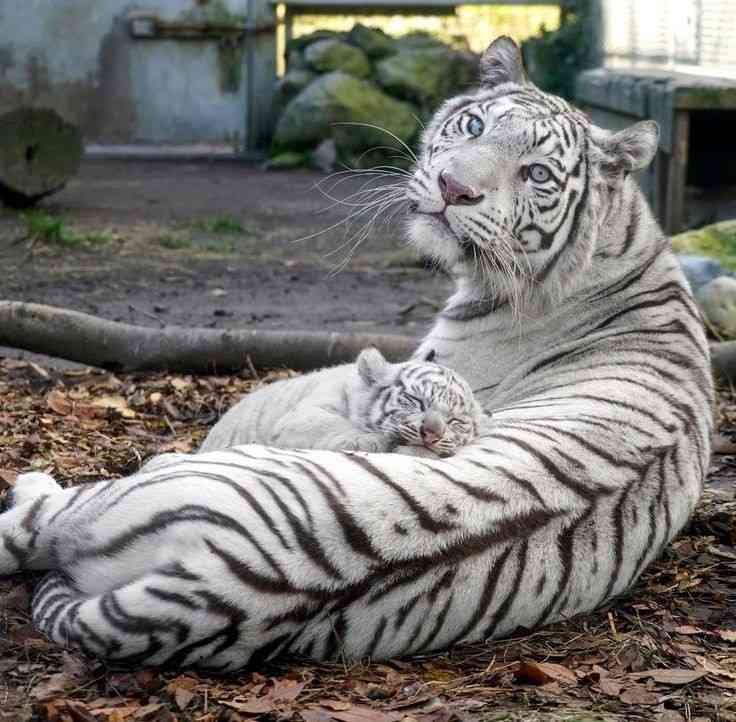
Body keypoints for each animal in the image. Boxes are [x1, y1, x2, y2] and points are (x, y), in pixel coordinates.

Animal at [0, 36, 712, 671]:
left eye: (535, 173)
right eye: (474, 124)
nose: (453, 187)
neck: (621, 245)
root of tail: (219, 585)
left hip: (123, 499)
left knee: (31, 521)